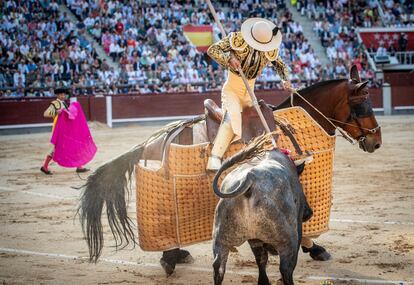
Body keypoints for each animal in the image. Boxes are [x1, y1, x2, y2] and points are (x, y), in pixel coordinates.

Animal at [77, 65, 382, 270]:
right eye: (363, 105)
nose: (376, 141)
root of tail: (153, 140)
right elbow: (305, 224)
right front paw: (315, 248)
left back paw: (176, 256)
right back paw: (170, 258)